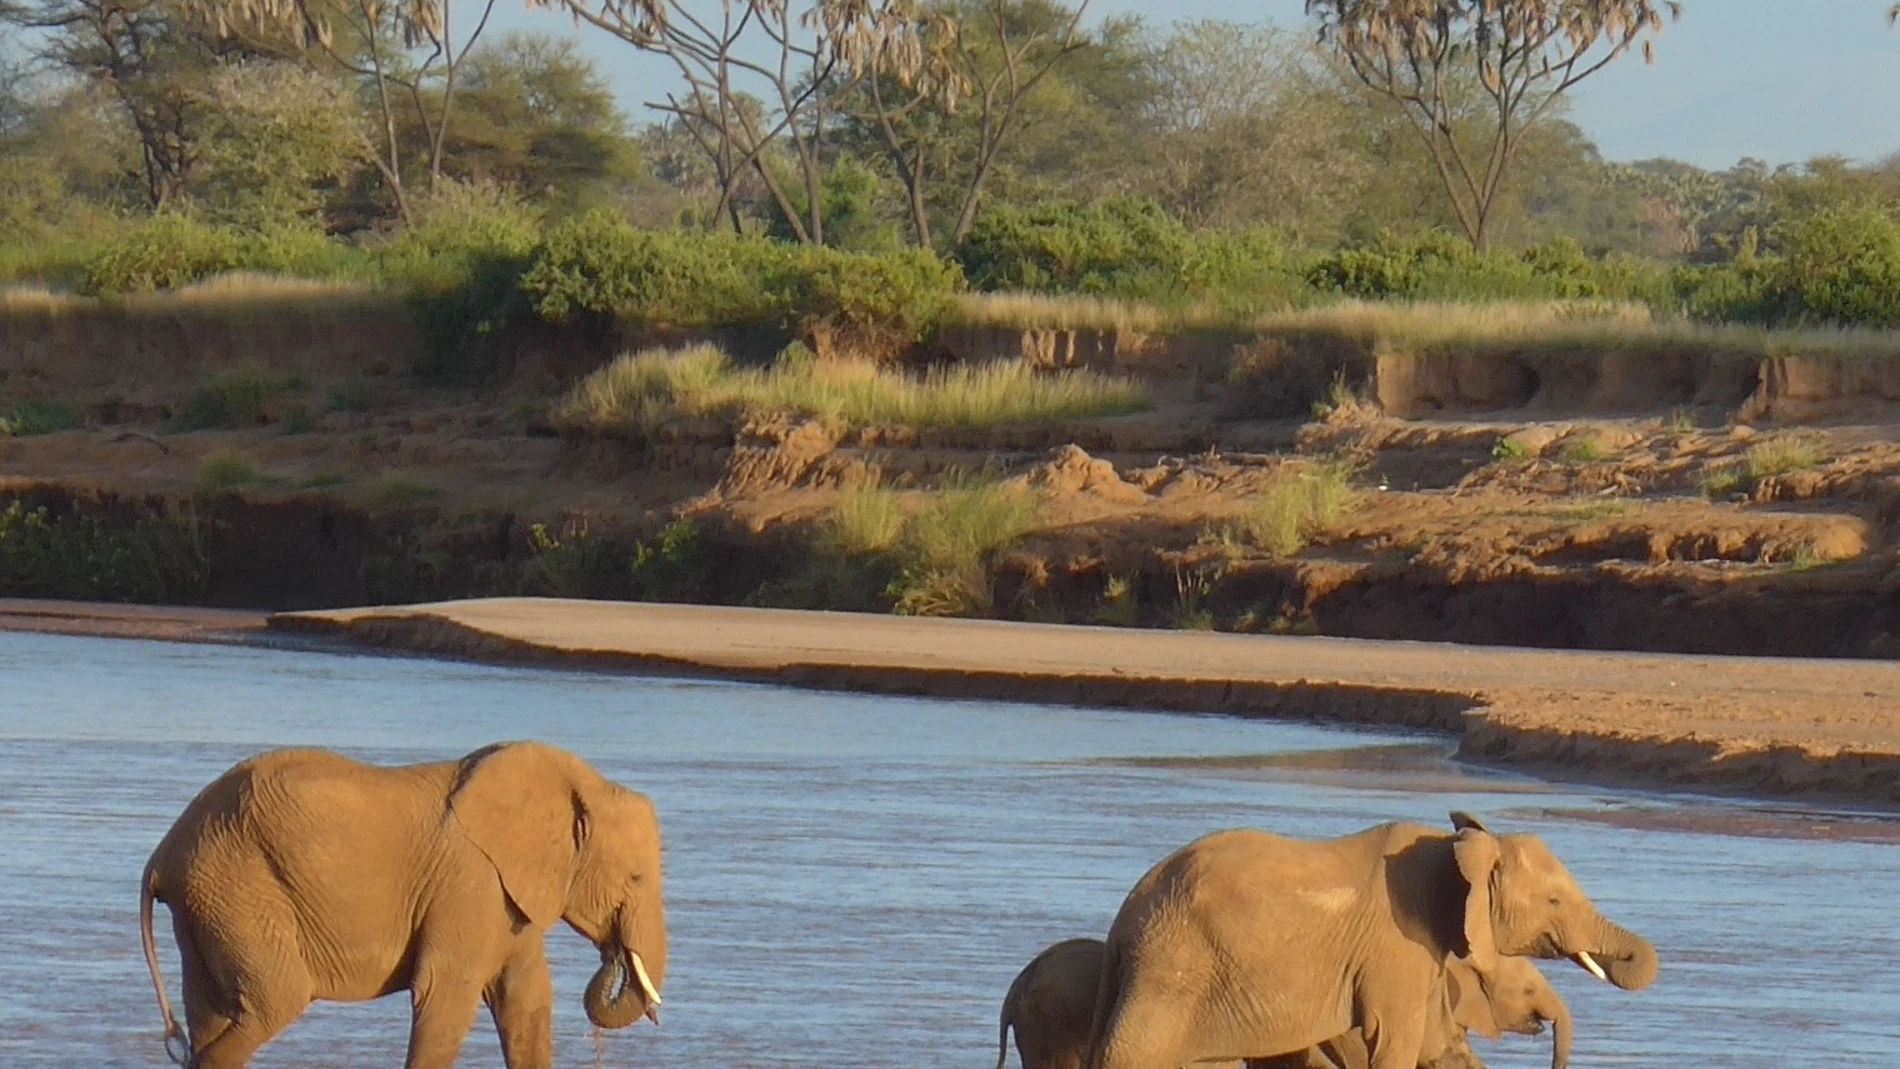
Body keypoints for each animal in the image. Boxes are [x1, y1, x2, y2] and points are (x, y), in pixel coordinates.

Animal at [138, 741, 667, 1069]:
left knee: (212, 1013)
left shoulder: (507, 898)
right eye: (636, 878)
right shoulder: (468, 883)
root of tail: (161, 855)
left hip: (209, 900)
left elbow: (526, 1000)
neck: (579, 783)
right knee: (274, 1001)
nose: (614, 957)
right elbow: (446, 993)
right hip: (237, 888)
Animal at [1085, 812, 1655, 1069]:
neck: (1457, 846)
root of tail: (1122, 924)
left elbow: (1437, 1043)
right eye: (1555, 901)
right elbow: (1398, 1041)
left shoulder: (1425, 950)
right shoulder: (1397, 943)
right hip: (1172, 969)